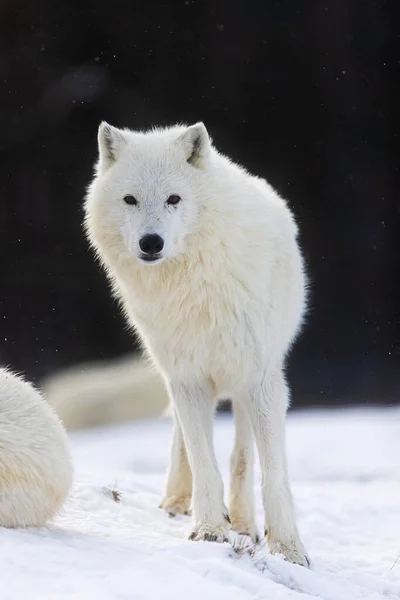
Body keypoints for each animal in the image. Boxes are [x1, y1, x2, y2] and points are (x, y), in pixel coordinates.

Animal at [83, 122, 310, 568]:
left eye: (174, 199)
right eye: (131, 200)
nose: (151, 242)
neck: (193, 287)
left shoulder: (261, 379)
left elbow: (272, 473)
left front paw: (288, 548)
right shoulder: (186, 377)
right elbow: (201, 459)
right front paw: (207, 528)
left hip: (245, 385)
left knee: (242, 454)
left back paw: (243, 521)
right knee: (182, 441)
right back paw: (176, 501)